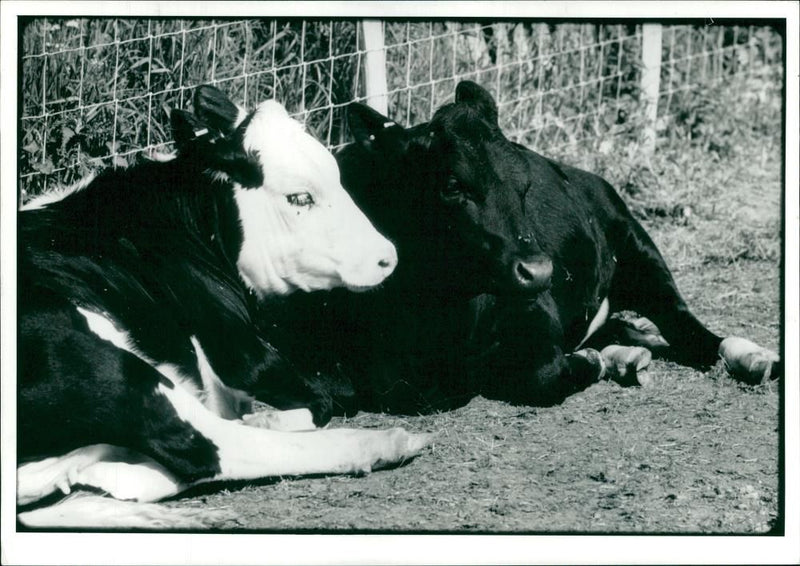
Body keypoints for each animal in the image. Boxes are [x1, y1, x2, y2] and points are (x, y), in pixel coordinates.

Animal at [17, 86, 432, 532]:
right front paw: (271, 418)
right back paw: (388, 441)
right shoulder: (239, 350)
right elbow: (322, 402)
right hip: (107, 365)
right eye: (299, 197)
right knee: (206, 448)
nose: (386, 257)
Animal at [258, 79, 780, 418]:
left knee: (685, 325)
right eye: (452, 185)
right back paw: (625, 356)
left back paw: (750, 357)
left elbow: (543, 373)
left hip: (635, 245)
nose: (538, 270)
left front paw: (586, 364)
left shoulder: (535, 316)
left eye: (525, 183)